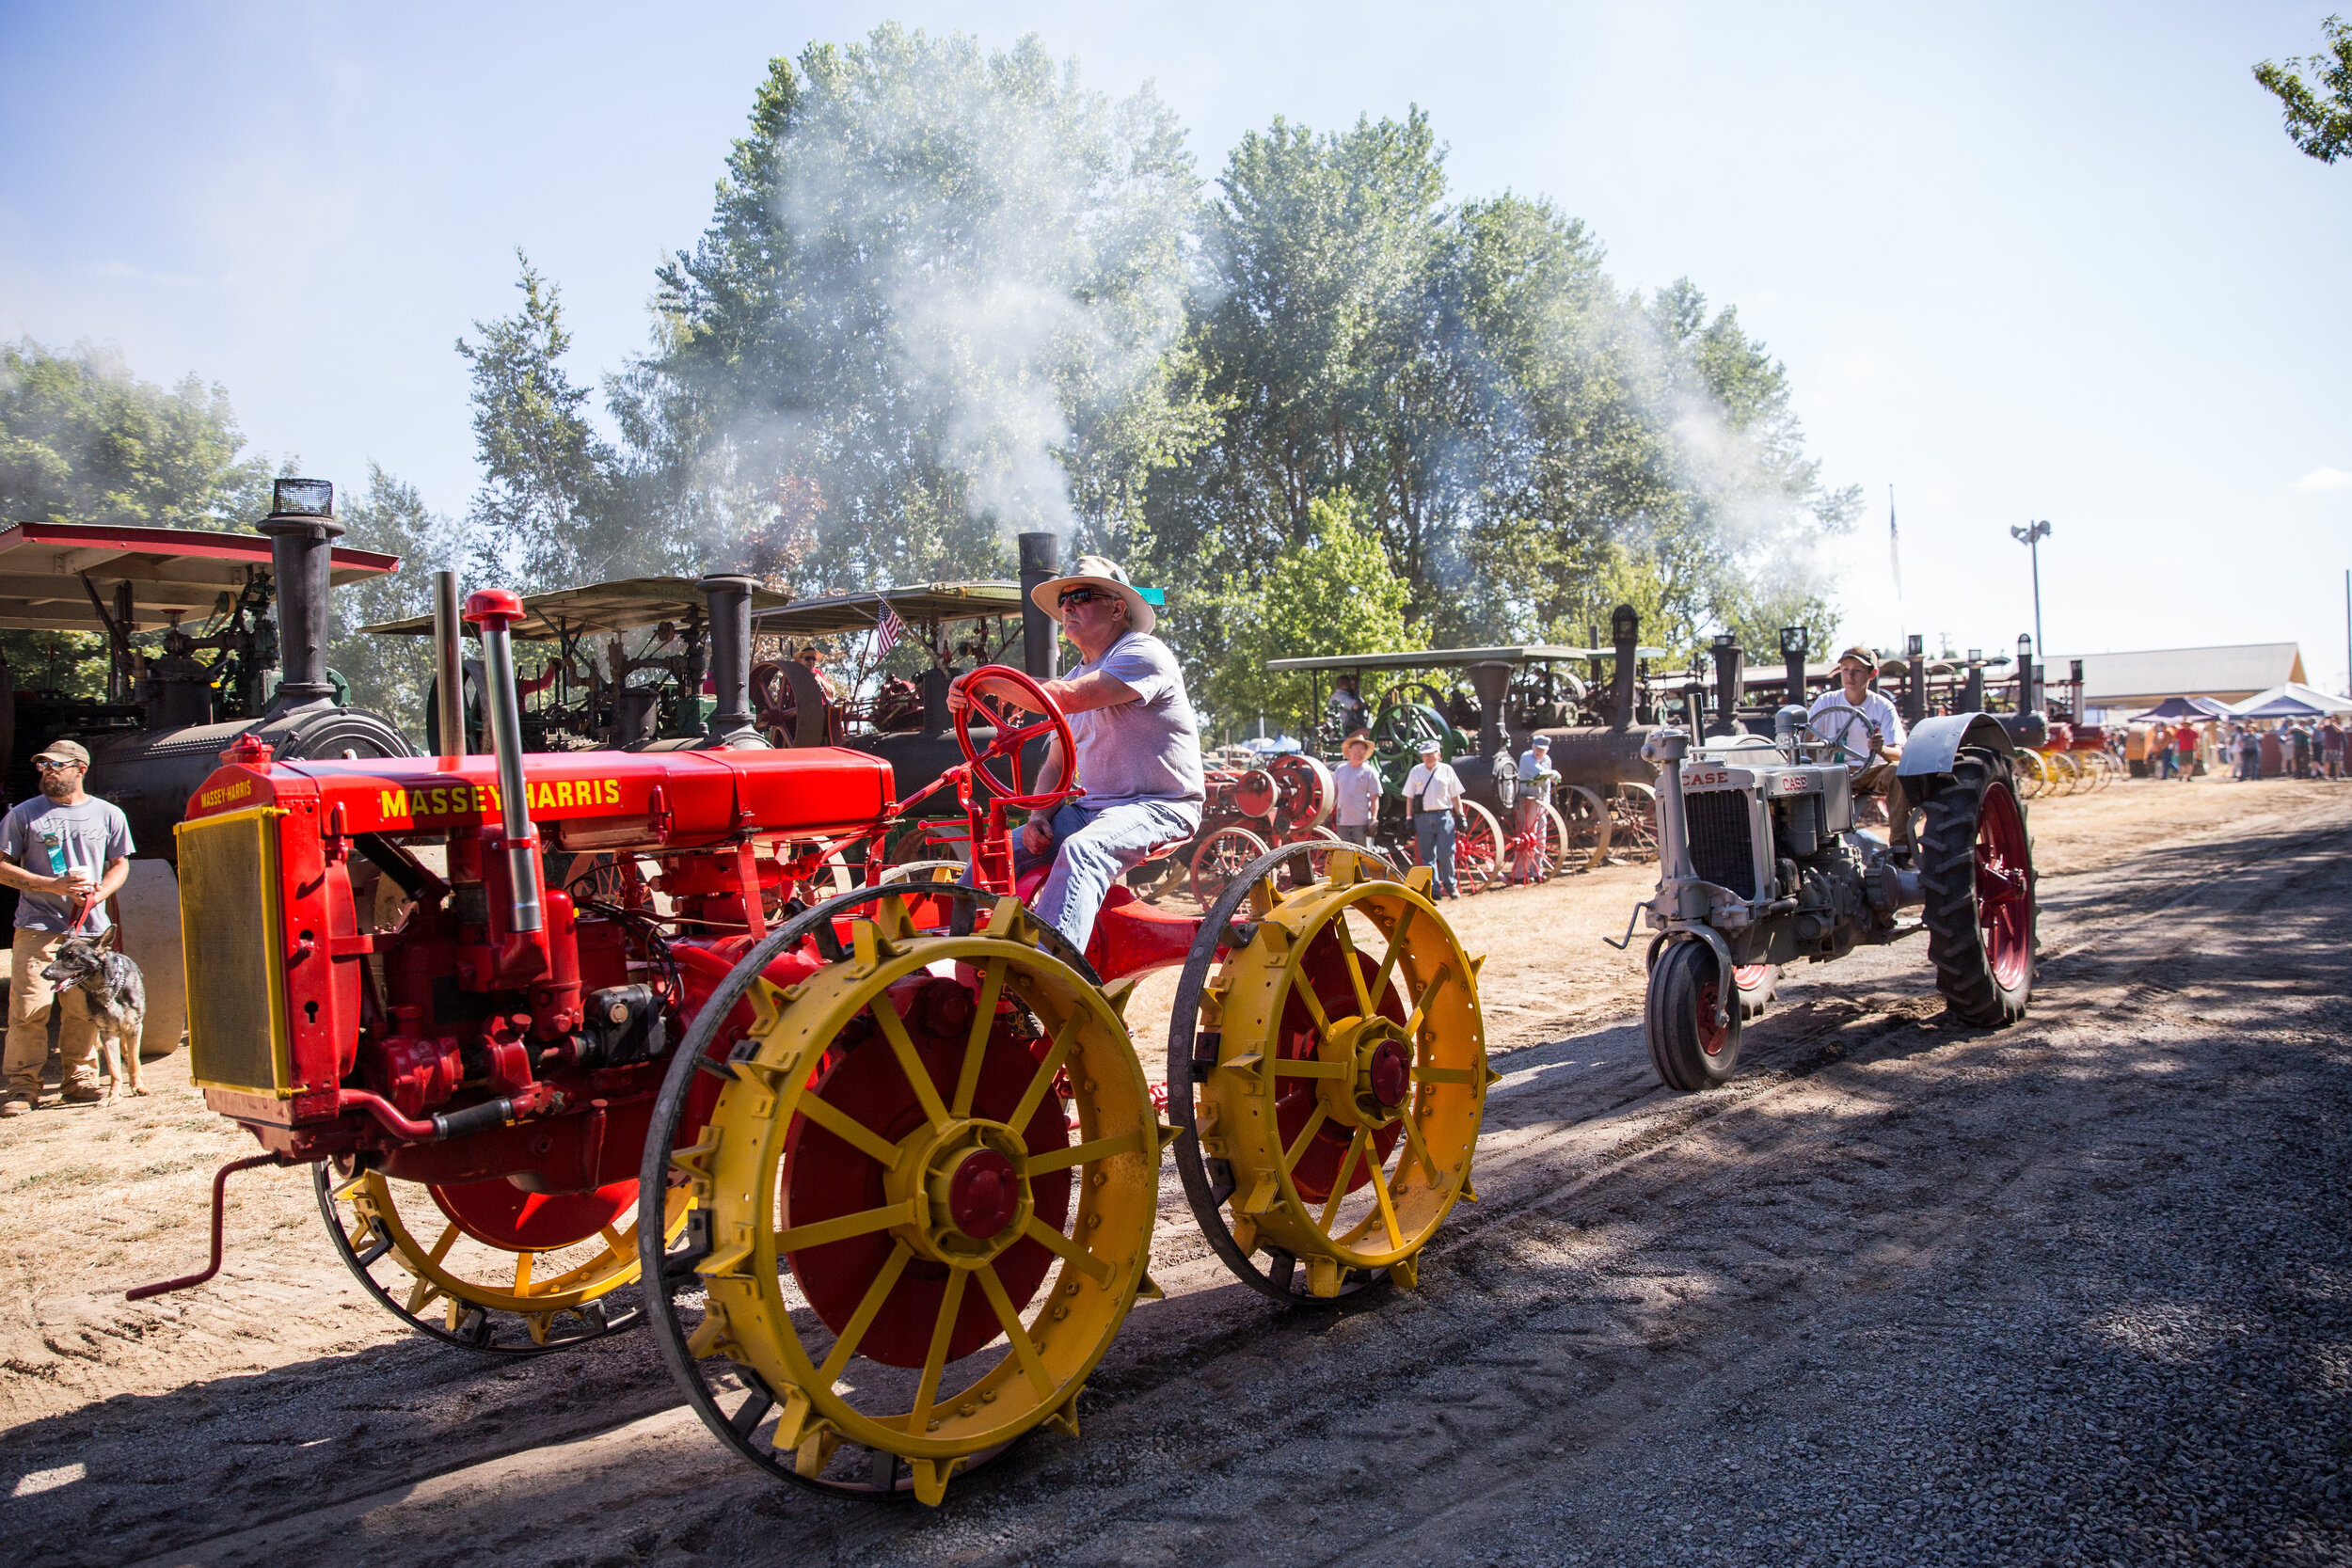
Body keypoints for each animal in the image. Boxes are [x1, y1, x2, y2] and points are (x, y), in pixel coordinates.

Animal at [40, 940, 146, 1100]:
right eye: (57, 955)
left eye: (72, 956)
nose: (45, 974)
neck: (108, 987)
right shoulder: (107, 1033)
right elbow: (113, 1068)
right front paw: (112, 1095)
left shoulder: (133, 1028)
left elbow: (133, 1061)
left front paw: (138, 1086)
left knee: (128, 1055)